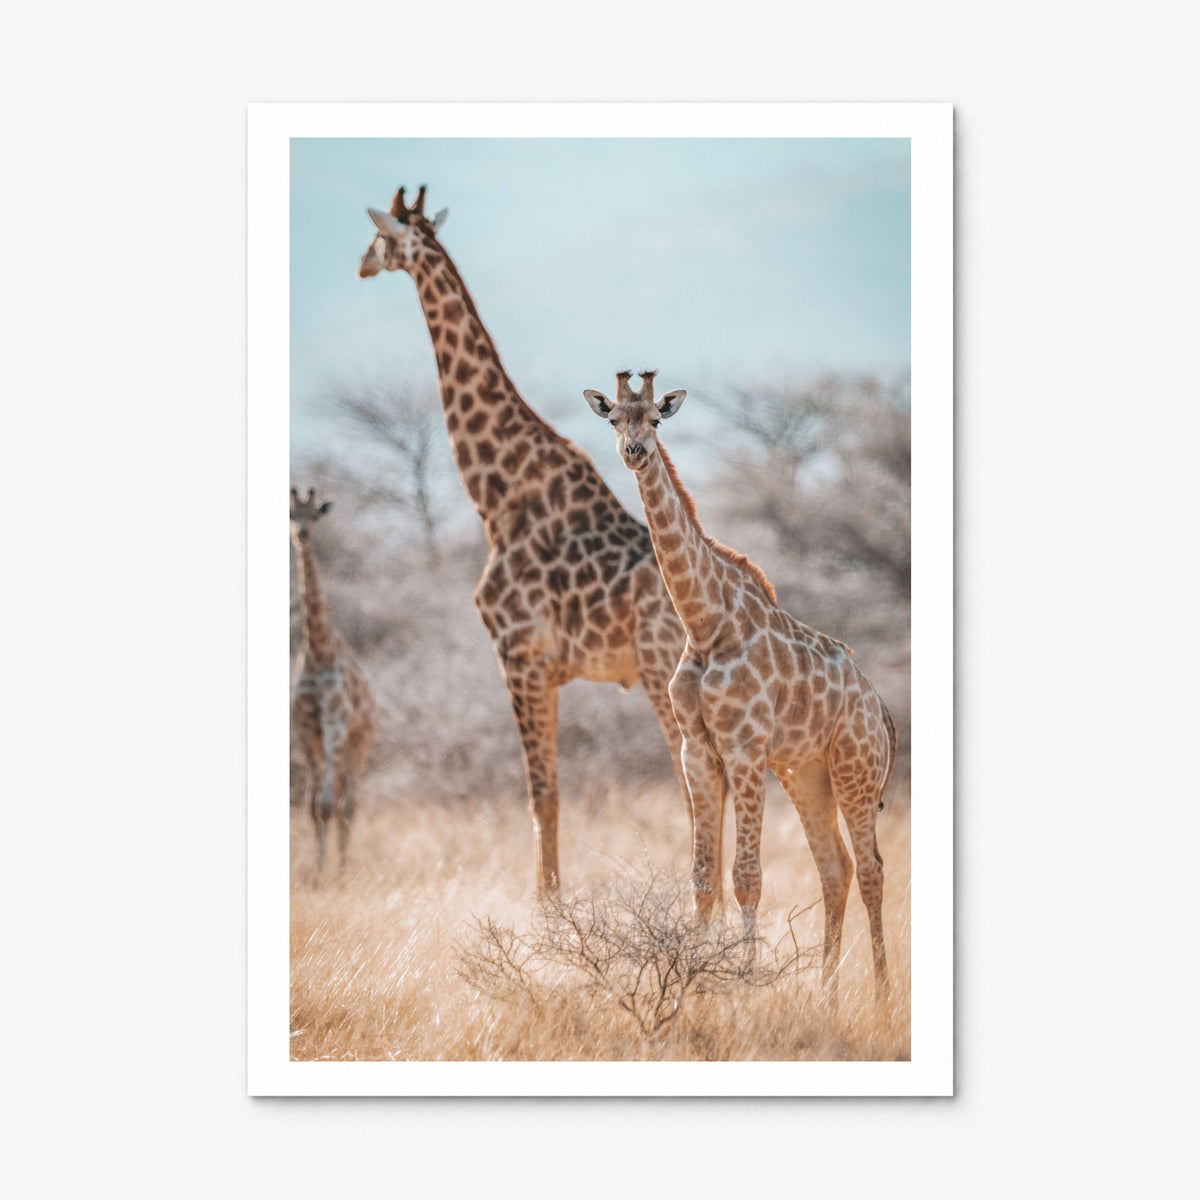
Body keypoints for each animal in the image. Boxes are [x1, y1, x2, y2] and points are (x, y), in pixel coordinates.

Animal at [356, 186, 693, 897]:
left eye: (378, 237)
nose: (361, 266)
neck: (497, 491)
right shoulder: (548, 667)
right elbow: (551, 790)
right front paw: (552, 901)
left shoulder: (517, 652)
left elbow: (541, 792)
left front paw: (546, 908)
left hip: (661, 674)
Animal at [584, 372, 898, 998]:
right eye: (613, 420)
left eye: (655, 419)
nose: (635, 452)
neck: (705, 621)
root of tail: (879, 707)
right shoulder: (698, 750)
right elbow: (704, 876)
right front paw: (696, 981)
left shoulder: (745, 748)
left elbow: (746, 875)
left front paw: (746, 983)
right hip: (807, 773)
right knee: (836, 867)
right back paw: (825, 993)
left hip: (854, 768)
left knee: (872, 869)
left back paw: (879, 994)